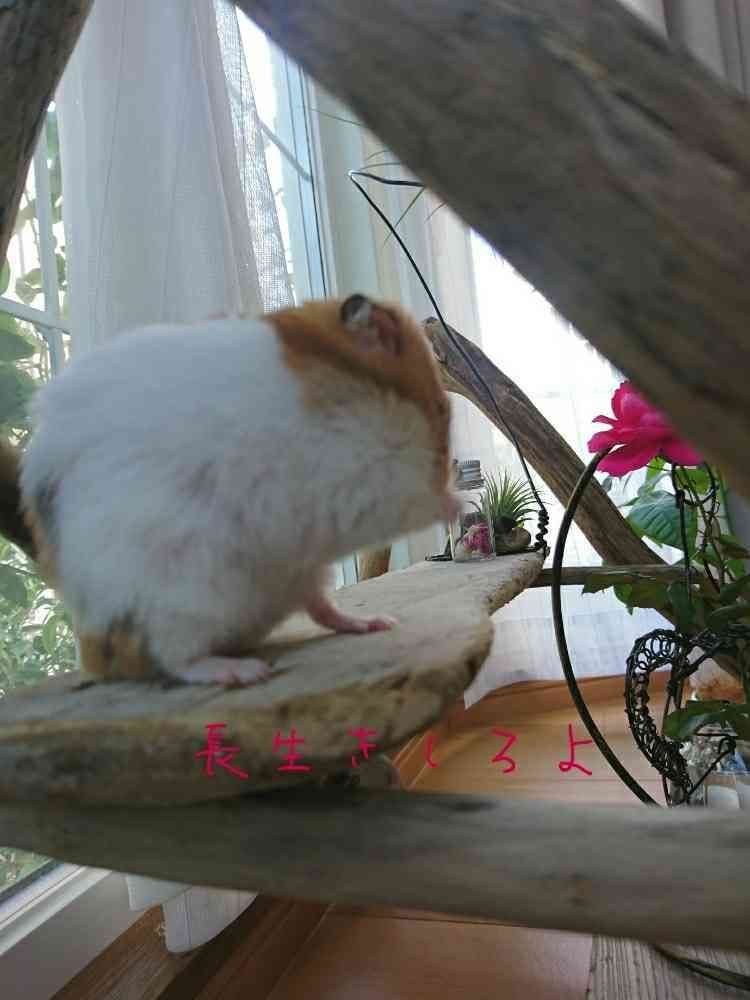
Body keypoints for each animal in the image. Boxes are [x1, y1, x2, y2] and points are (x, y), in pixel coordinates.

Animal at [15, 294, 455, 687]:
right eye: (440, 408)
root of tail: (96, 659)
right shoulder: (372, 480)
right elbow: (423, 501)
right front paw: (459, 503)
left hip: (297, 572)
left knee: (320, 607)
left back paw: (375, 623)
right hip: (186, 593)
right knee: (176, 657)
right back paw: (243, 672)